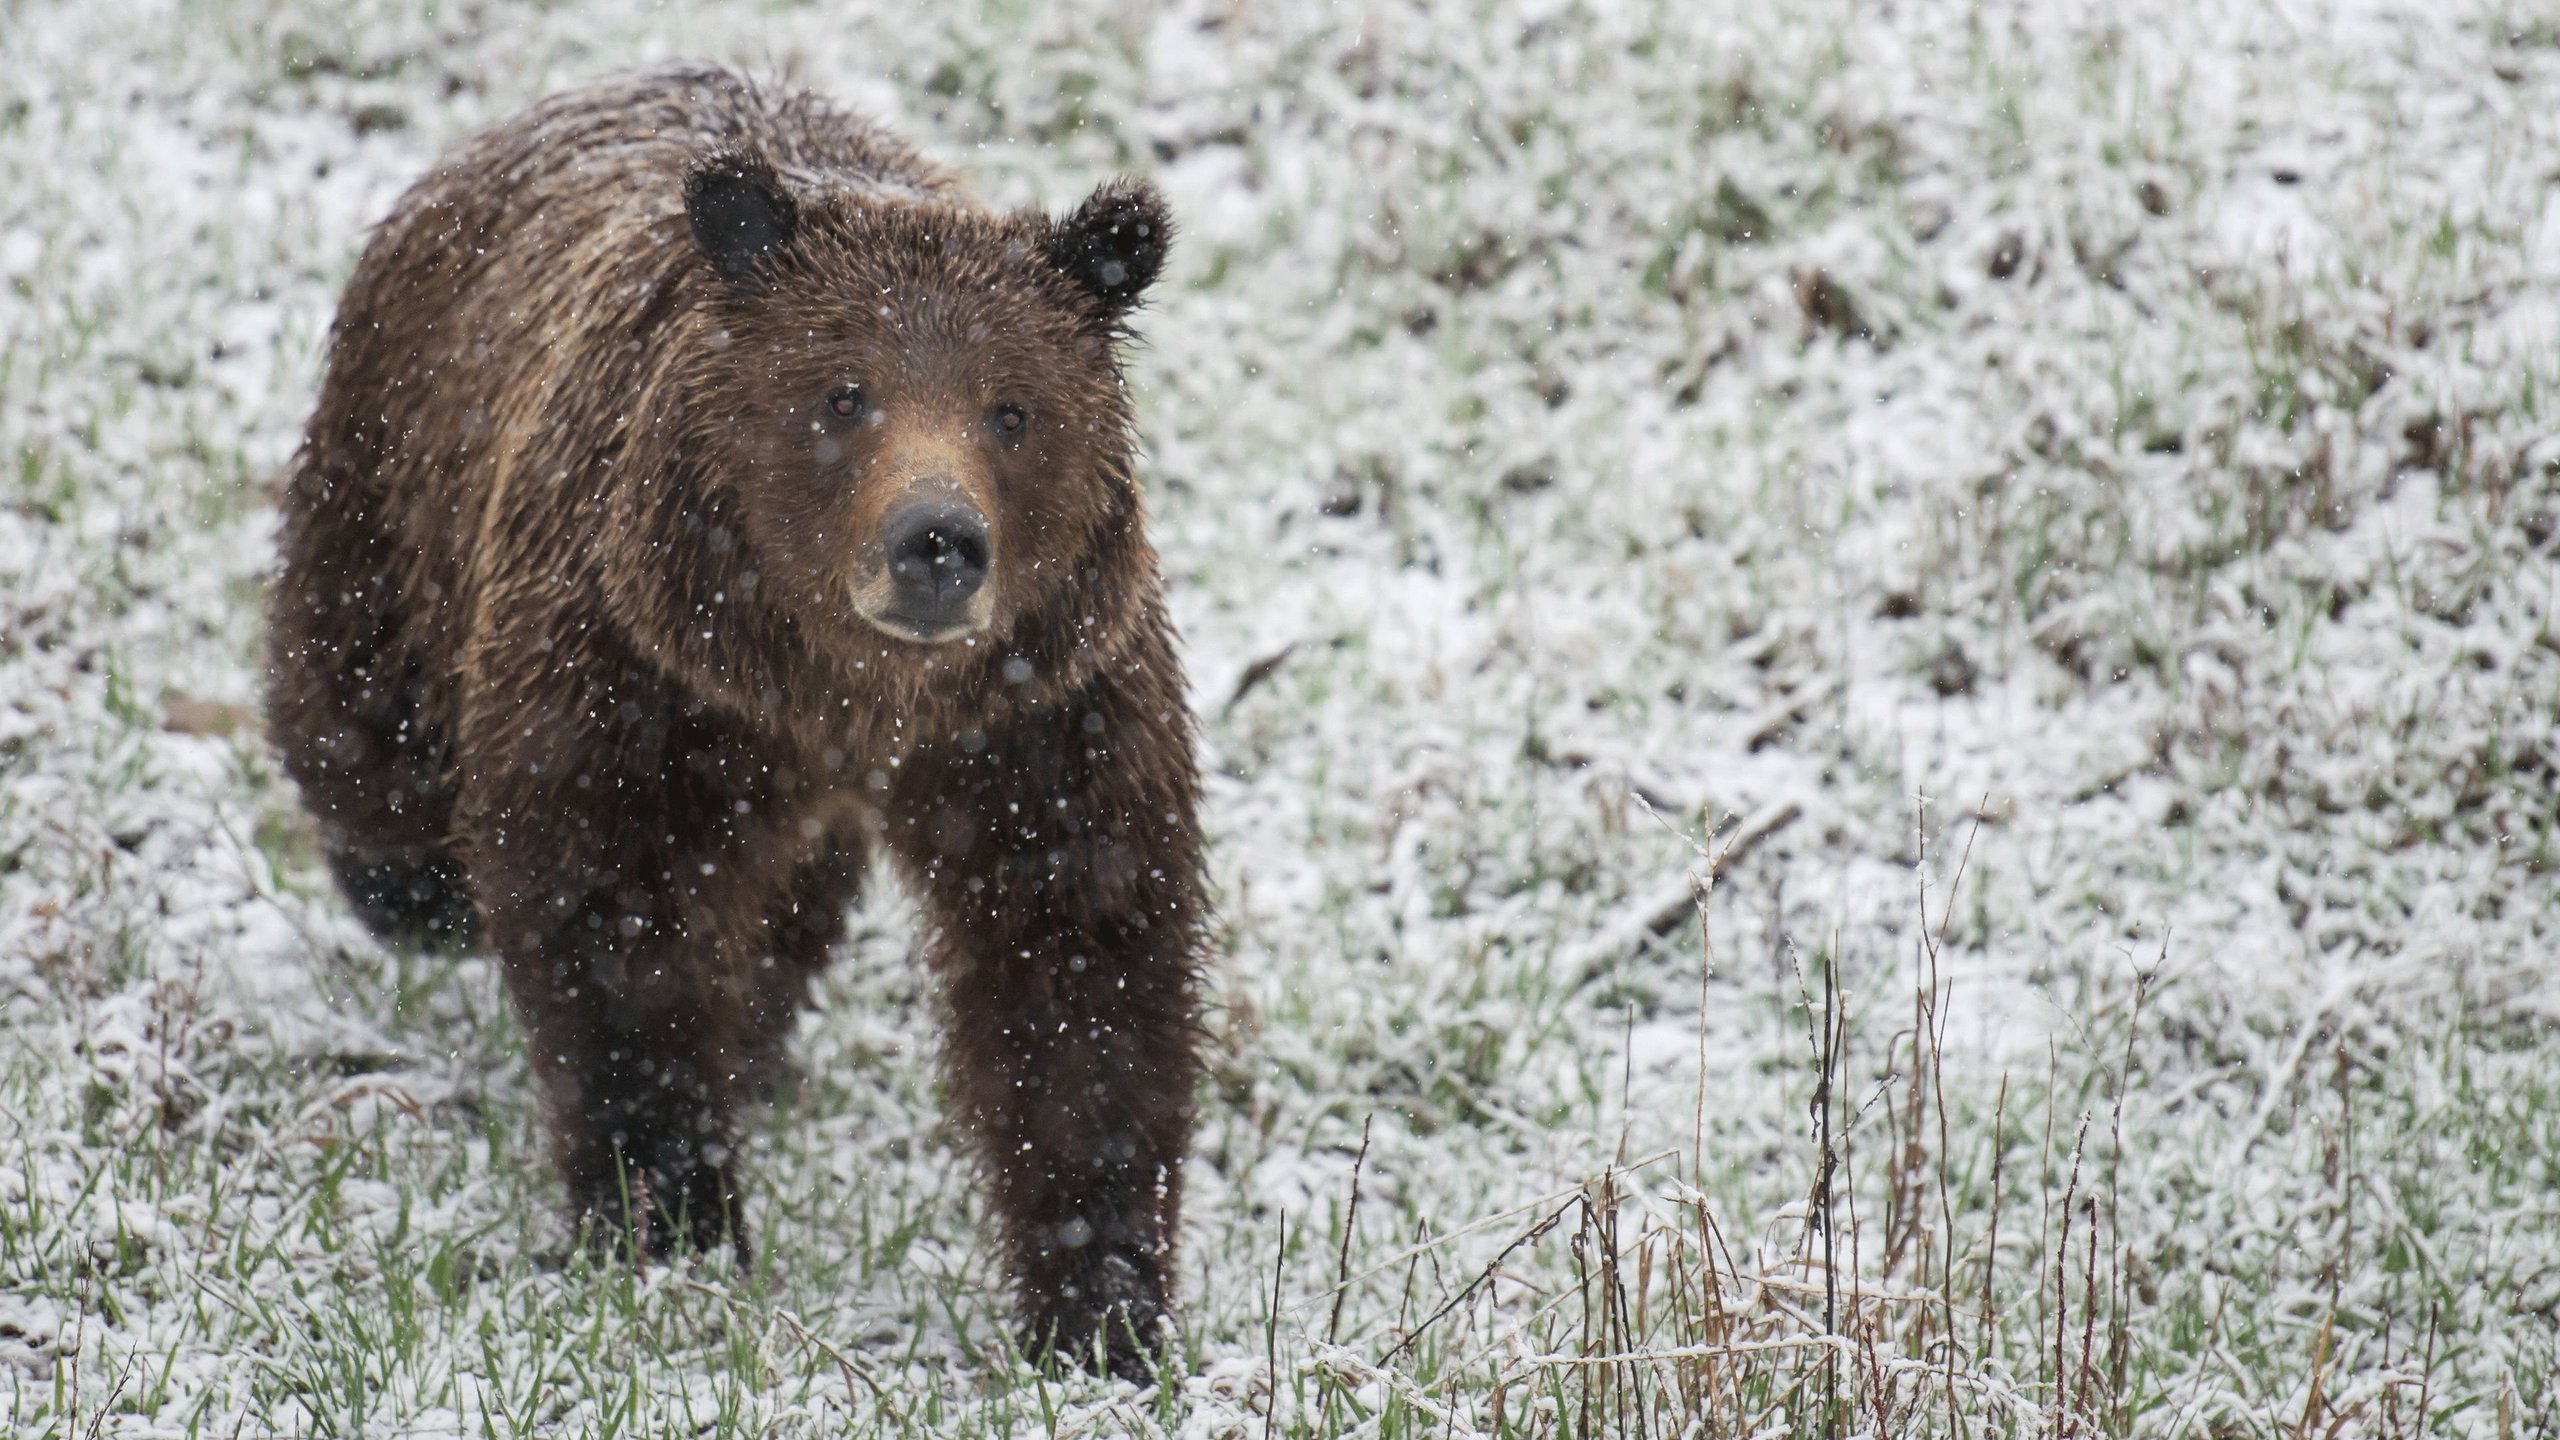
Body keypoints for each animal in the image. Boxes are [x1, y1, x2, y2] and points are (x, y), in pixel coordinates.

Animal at [264, 63, 1207, 1380]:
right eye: (844, 392)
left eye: (1012, 410)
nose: (936, 544)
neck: (842, 690)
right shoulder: (641, 671)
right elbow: (611, 916)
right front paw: (669, 1216)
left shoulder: (1043, 707)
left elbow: (1081, 959)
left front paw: (1100, 1306)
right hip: (398, 476)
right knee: (359, 712)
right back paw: (413, 884)